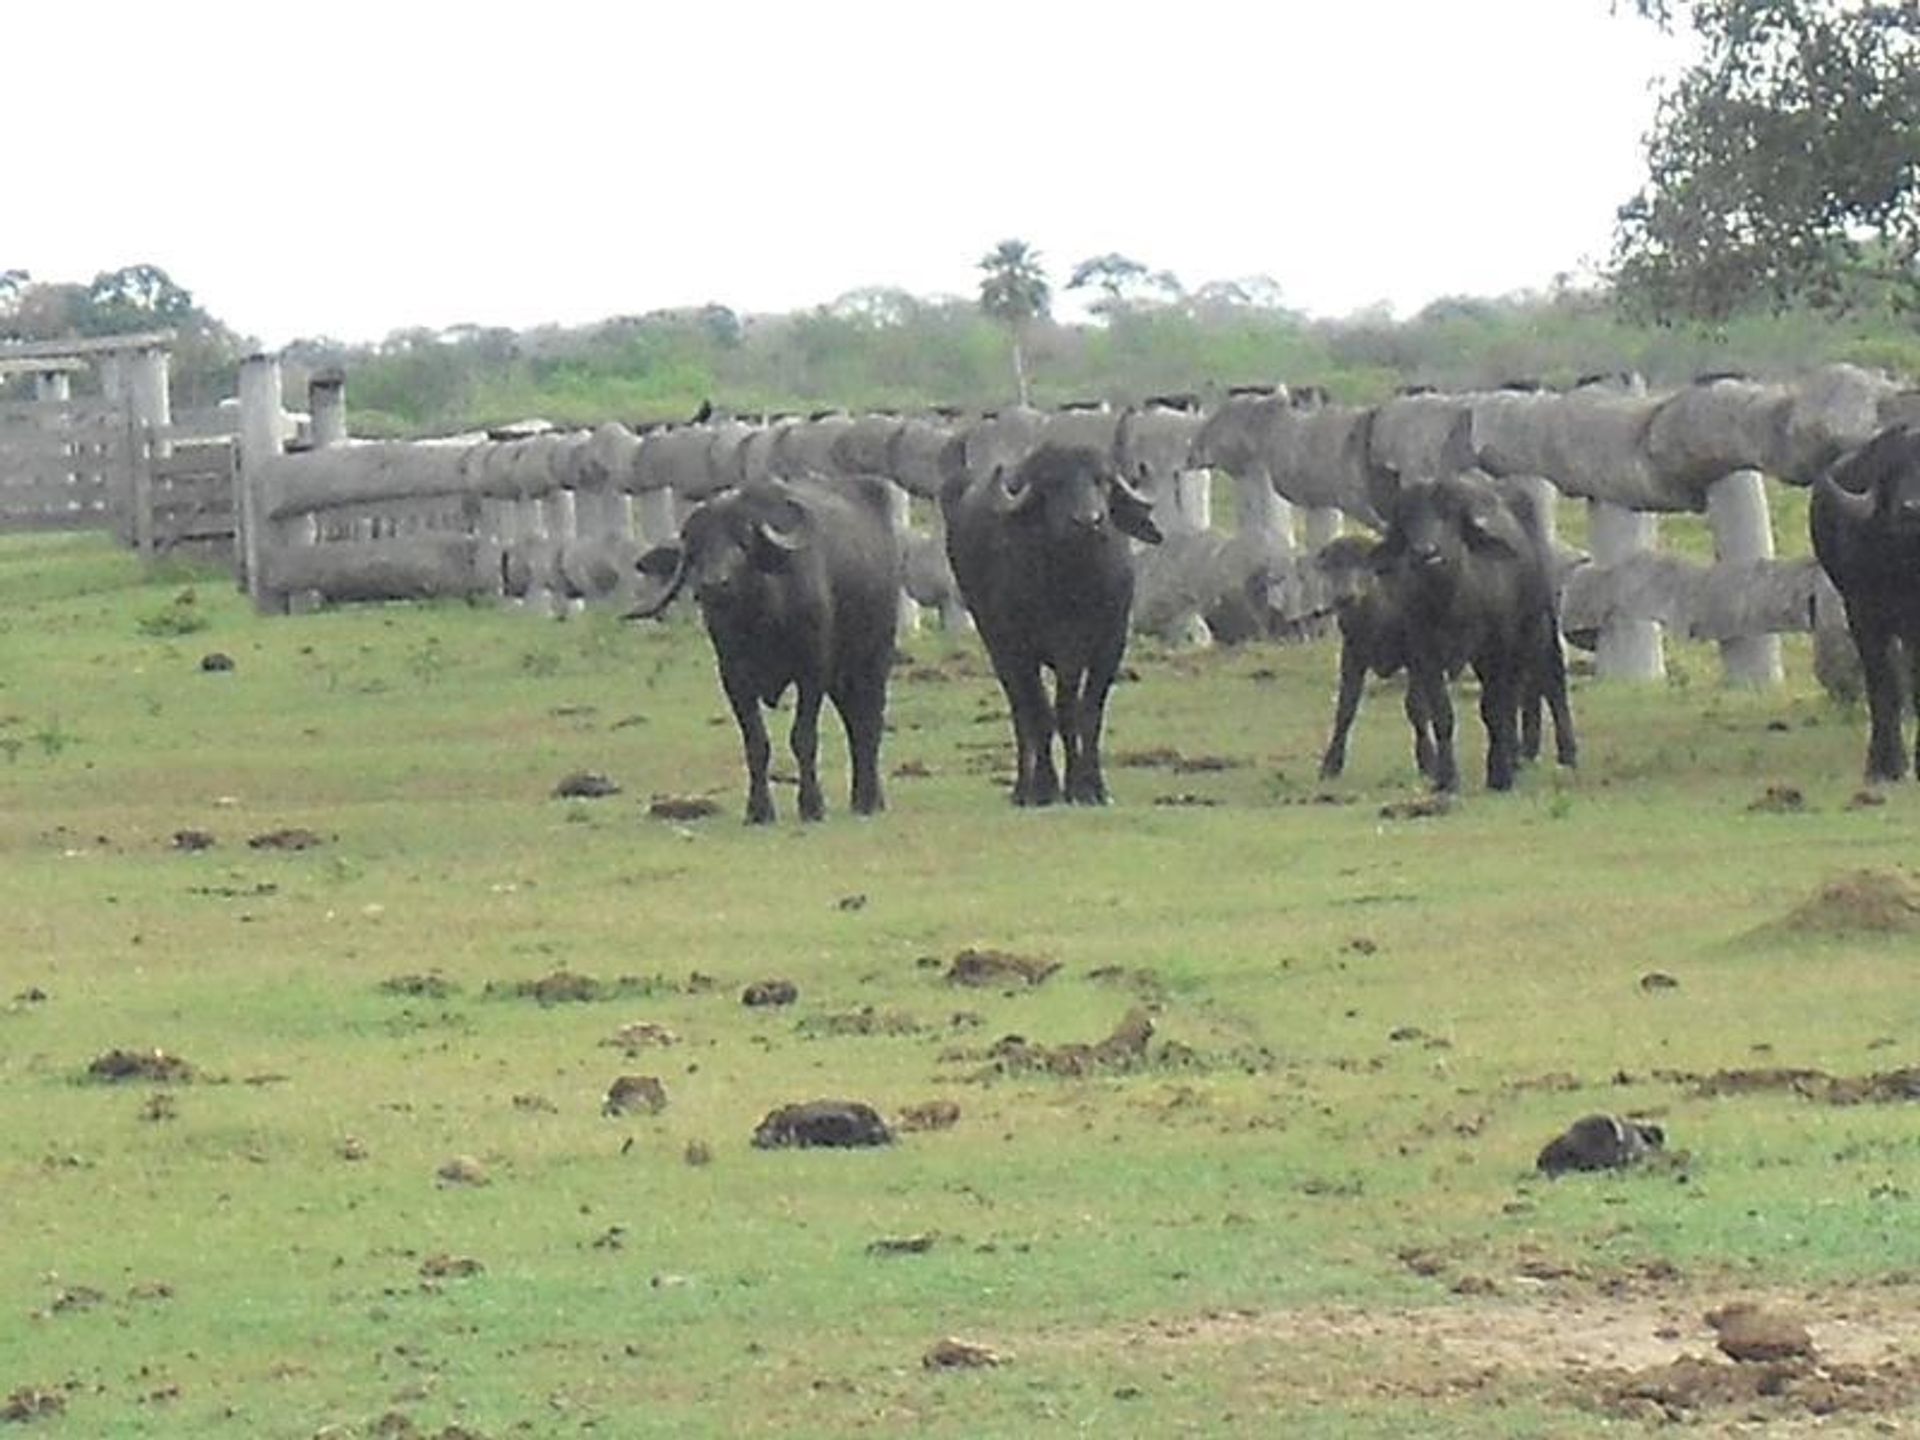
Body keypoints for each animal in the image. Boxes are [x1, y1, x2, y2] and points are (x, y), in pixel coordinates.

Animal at [625, 476, 902, 821]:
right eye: (697, 547)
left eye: (743, 541)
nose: (713, 583)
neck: (764, 618)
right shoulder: (733, 677)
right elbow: (756, 743)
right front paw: (759, 810)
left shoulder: (812, 672)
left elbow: (803, 737)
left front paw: (812, 805)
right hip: (842, 678)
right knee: (855, 723)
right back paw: (862, 798)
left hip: (874, 658)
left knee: (870, 723)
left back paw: (868, 800)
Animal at [940, 445, 1159, 806]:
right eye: (1053, 485)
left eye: (1103, 482)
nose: (1088, 521)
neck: (1071, 586)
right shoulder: (1018, 649)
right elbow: (1041, 714)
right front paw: (1046, 788)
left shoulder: (1109, 645)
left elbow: (1085, 714)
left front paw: (1090, 788)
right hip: (995, 644)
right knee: (1020, 712)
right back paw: (1022, 789)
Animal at [1382, 470, 1574, 791]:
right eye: (1407, 519)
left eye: (1449, 515)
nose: (1426, 552)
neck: (1449, 601)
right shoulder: (1424, 654)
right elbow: (1442, 713)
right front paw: (1447, 778)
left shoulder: (1498, 647)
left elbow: (1494, 708)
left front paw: (1499, 775)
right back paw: (1517, 755)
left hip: (1540, 627)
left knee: (1551, 682)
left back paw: (1566, 753)